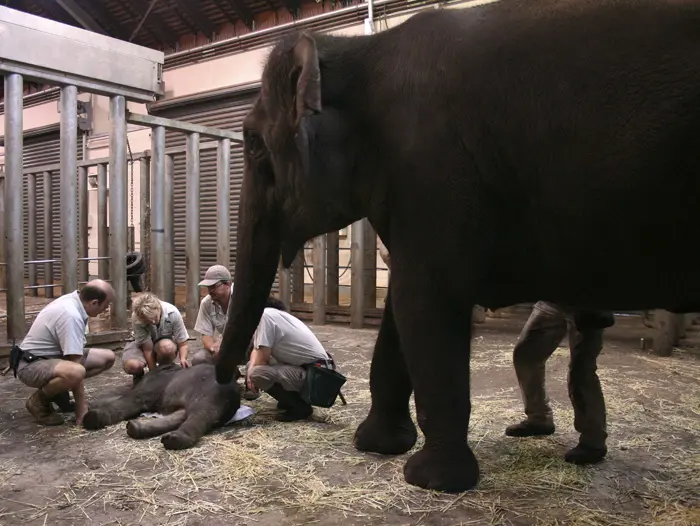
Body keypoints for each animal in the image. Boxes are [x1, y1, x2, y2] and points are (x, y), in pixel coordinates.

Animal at [81, 366, 241, 452]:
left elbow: (130, 400)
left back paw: (173, 440)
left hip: (208, 393)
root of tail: (234, 395)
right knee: (181, 416)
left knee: (199, 414)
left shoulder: (150, 388)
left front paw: (90, 415)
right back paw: (135, 428)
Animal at [216, 0, 700, 496]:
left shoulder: (433, 167)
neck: (362, 49)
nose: (231, 383)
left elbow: (424, 302)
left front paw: (432, 480)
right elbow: (403, 307)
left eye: (253, 145)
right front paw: (378, 445)